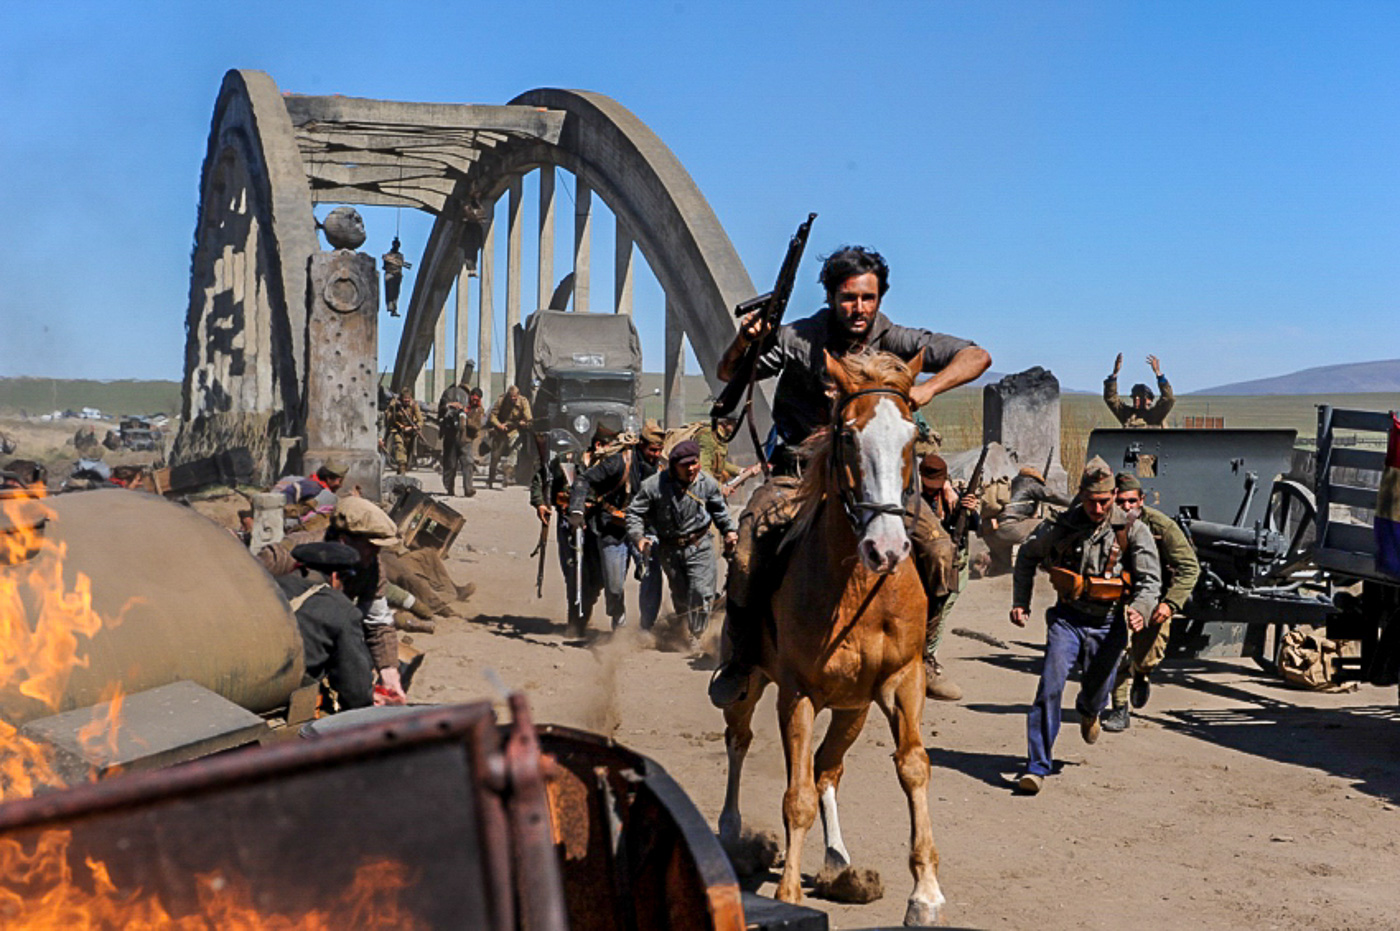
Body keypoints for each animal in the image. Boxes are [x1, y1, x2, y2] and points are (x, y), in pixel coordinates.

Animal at [722, 348, 940, 924]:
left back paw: (838, 860)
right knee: (739, 740)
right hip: (750, 684)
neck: (861, 589)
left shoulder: (901, 682)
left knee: (827, 768)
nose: (886, 548)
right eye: (846, 435)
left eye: (911, 437)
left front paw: (926, 891)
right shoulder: (797, 694)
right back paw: (731, 833)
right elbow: (794, 796)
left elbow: (913, 767)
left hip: (852, 709)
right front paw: (787, 895)